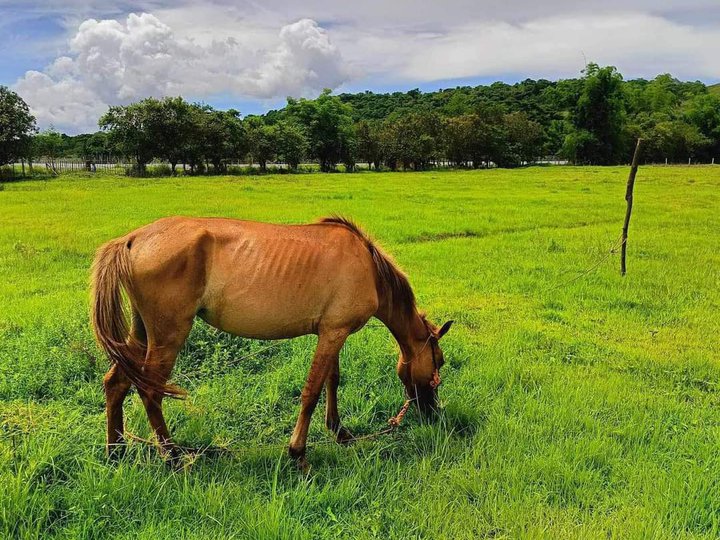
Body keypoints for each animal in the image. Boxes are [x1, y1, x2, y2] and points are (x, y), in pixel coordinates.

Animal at [88, 213, 450, 466]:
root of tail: (132, 239)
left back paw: (116, 451)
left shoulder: (333, 332)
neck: (369, 268)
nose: (432, 411)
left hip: (141, 333)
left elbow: (332, 380)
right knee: (150, 391)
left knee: (116, 383)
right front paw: (298, 452)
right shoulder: (333, 333)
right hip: (168, 336)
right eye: (440, 361)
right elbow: (312, 391)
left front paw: (339, 431)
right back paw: (172, 456)